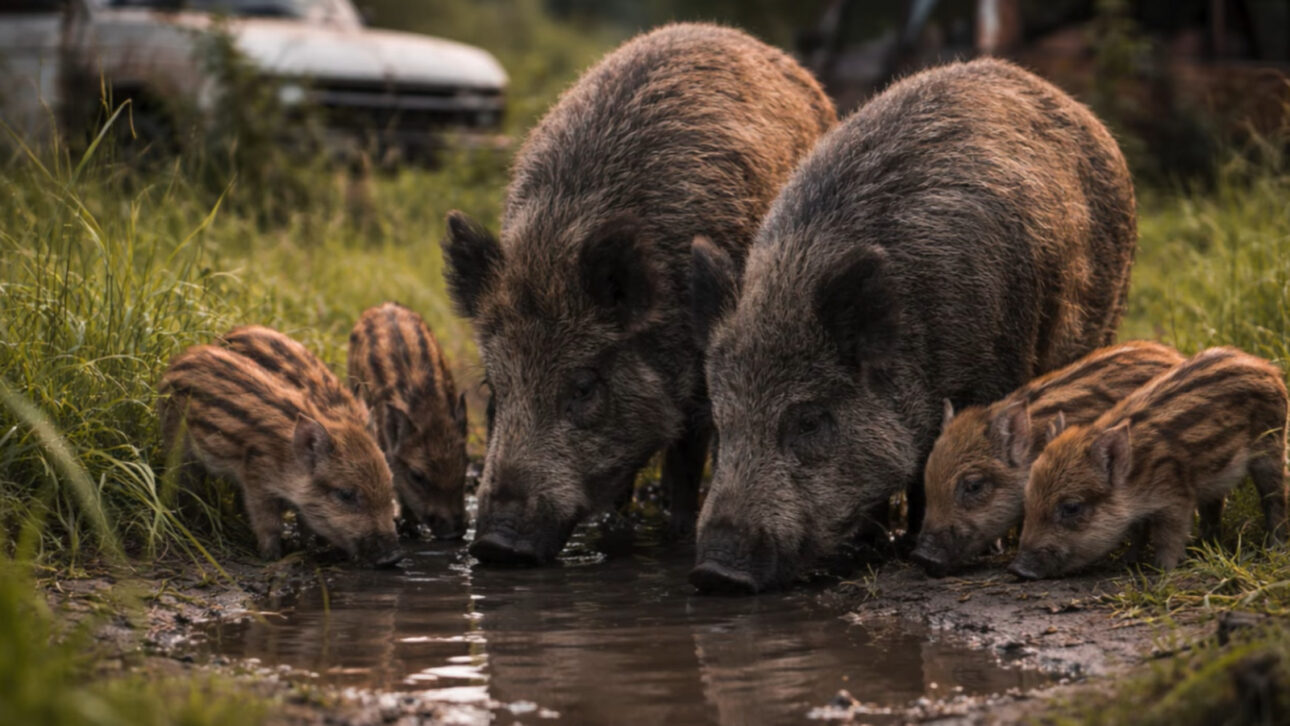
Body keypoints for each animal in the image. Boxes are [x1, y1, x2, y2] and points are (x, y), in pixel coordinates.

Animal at [159, 327, 401, 565]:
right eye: (346, 494)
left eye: (390, 485)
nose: (392, 556)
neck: (286, 457)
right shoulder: (256, 479)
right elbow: (268, 522)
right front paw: (273, 556)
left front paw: (309, 546)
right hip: (176, 442)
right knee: (182, 481)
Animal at [440, 23, 837, 565]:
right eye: (492, 387)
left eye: (583, 386)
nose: (497, 546)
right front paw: (614, 527)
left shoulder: (703, 370)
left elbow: (685, 459)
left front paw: (677, 536)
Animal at [1010, 347, 1288, 579]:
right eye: (1028, 499)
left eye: (1071, 508)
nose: (1018, 569)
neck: (1137, 474)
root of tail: (1267, 367)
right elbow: (1138, 531)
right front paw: (1127, 561)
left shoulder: (1176, 497)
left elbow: (1168, 536)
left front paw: (1161, 570)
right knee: (1216, 504)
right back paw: (1207, 545)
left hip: (1272, 447)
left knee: (1275, 498)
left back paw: (1274, 548)